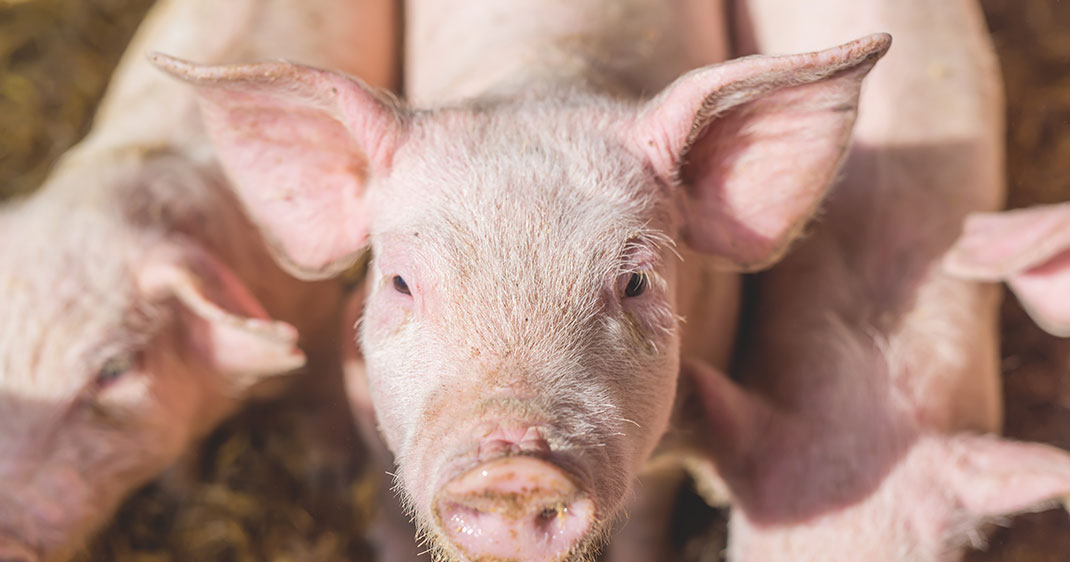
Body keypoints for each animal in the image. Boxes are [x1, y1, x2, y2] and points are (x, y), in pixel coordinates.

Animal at [0, 0, 398, 560]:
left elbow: (324, 398)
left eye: (114, 369)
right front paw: (179, 496)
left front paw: (330, 477)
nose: (5, 535)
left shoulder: (318, 319)